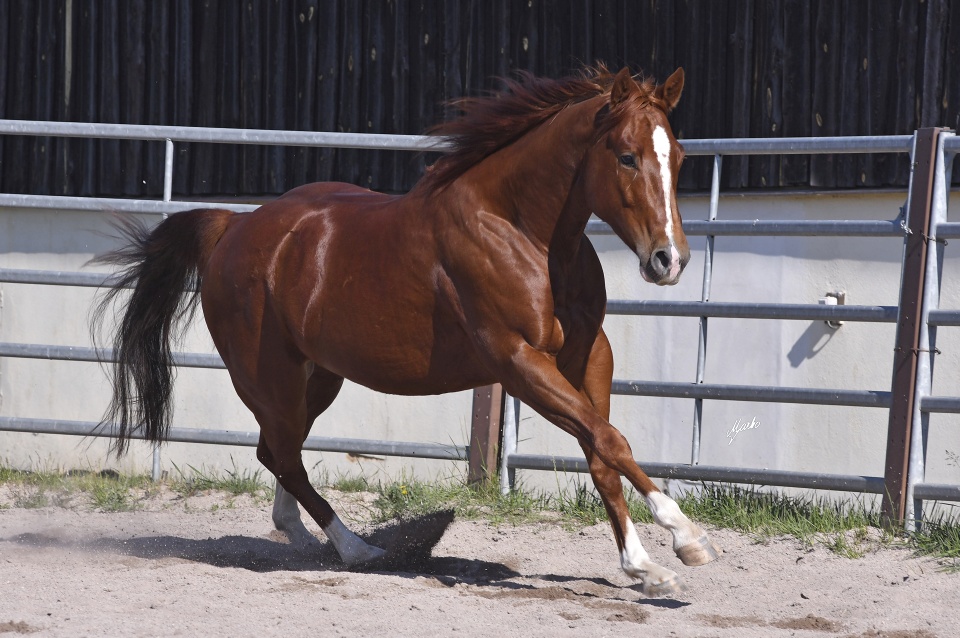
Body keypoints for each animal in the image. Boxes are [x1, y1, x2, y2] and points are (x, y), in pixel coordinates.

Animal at [92, 66, 720, 600]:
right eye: (626, 157)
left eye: (679, 156)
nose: (669, 260)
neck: (521, 230)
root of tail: (234, 226)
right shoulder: (518, 362)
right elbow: (610, 441)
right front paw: (685, 537)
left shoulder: (589, 356)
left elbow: (601, 451)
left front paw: (645, 568)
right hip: (270, 377)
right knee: (284, 454)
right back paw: (357, 549)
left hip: (318, 377)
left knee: (278, 451)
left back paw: (299, 534)